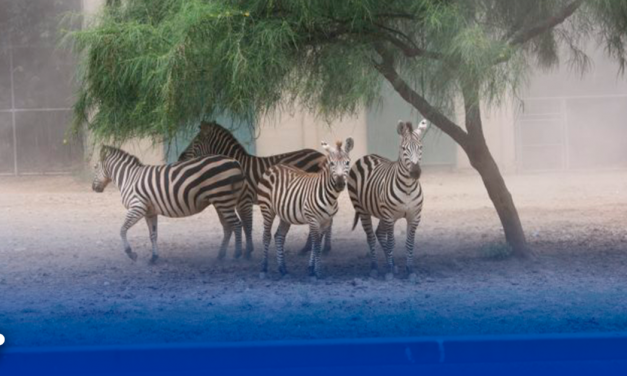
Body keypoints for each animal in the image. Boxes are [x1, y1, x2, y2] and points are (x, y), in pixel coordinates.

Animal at [92, 145, 247, 262]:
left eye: (95, 167)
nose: (93, 188)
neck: (129, 178)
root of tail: (235, 162)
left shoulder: (138, 206)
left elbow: (122, 229)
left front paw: (131, 253)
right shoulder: (149, 211)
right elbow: (153, 235)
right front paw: (154, 258)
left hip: (223, 199)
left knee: (237, 224)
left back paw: (237, 254)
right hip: (220, 202)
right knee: (228, 227)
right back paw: (221, 255)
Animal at [177, 120, 334, 258]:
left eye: (196, 140)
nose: (180, 157)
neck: (236, 164)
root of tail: (322, 155)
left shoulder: (244, 199)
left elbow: (247, 224)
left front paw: (247, 251)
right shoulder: (238, 201)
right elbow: (244, 224)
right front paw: (246, 249)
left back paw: (310, 248)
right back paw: (322, 248)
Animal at [255, 138, 354, 280]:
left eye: (347, 162)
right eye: (331, 164)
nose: (340, 184)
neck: (330, 196)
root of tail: (274, 167)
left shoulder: (326, 221)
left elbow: (315, 243)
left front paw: (311, 269)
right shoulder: (313, 219)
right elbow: (316, 245)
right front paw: (317, 272)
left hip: (285, 214)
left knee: (279, 236)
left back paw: (283, 269)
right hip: (267, 209)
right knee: (266, 236)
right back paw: (263, 269)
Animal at [346, 119, 430, 280]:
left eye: (421, 147)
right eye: (404, 149)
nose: (415, 172)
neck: (408, 188)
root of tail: (367, 156)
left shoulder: (414, 217)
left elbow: (409, 243)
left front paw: (410, 270)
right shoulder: (390, 216)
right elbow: (391, 242)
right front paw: (389, 272)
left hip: (381, 213)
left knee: (379, 233)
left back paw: (391, 264)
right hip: (363, 209)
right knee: (371, 237)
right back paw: (375, 267)